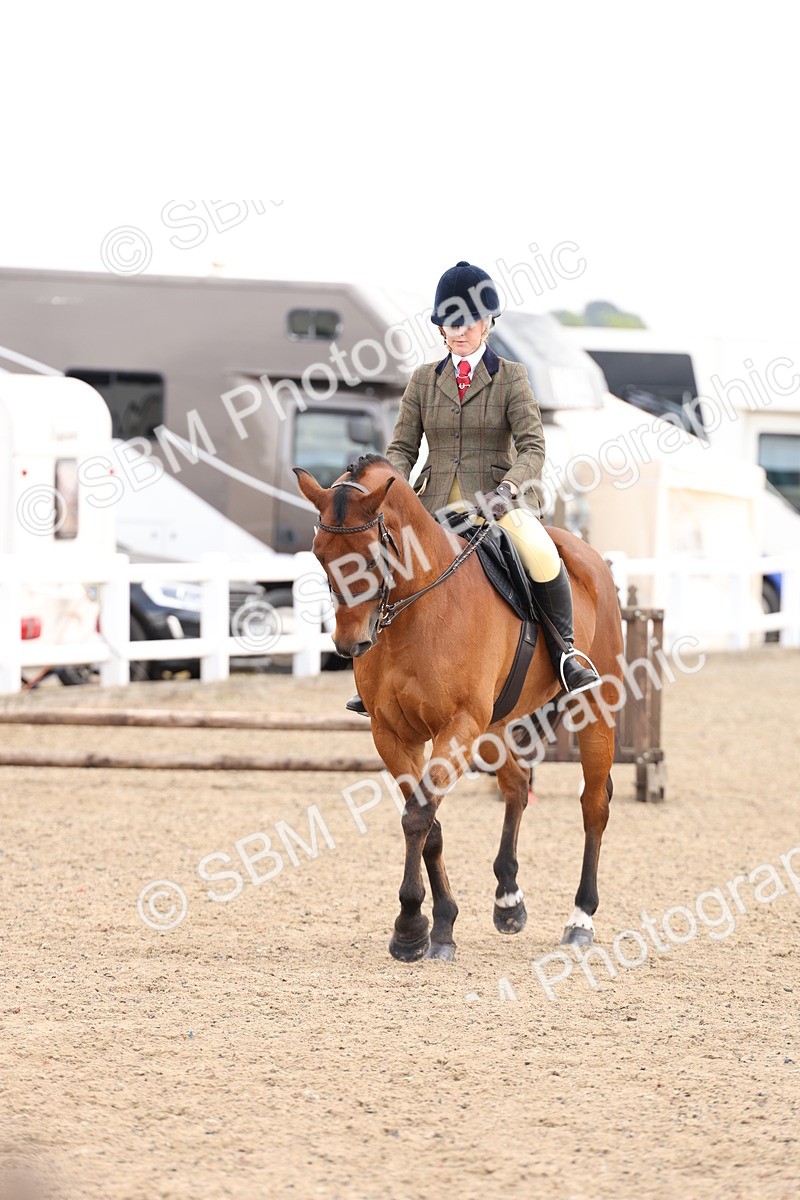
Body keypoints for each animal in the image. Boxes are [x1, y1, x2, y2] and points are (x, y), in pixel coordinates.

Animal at [294, 454, 625, 963]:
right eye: (319, 555)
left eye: (373, 557)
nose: (351, 644)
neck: (418, 606)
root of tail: (586, 553)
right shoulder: (393, 733)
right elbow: (427, 821)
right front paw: (440, 924)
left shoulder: (459, 726)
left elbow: (418, 815)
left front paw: (411, 928)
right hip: (498, 725)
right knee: (516, 786)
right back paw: (508, 901)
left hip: (593, 707)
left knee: (594, 805)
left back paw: (580, 919)